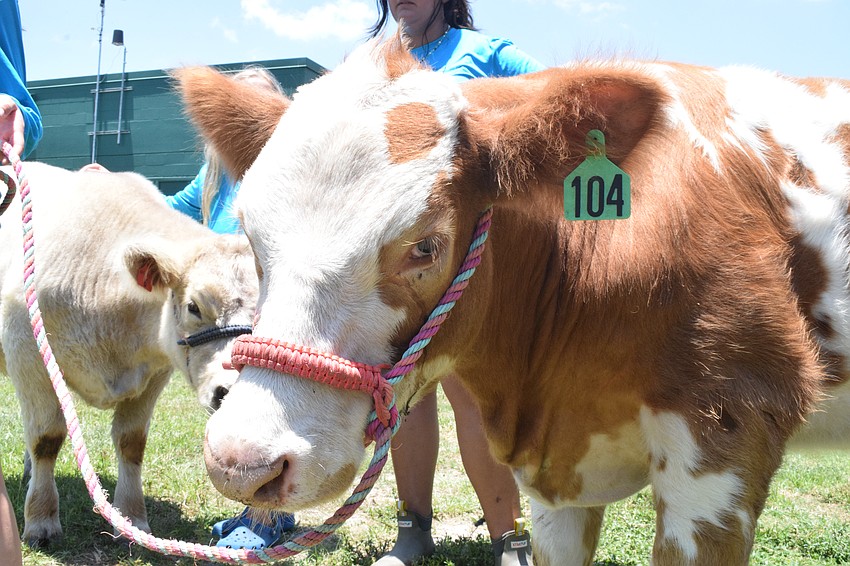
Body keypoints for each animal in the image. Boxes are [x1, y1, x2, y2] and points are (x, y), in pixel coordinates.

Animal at [0, 162, 258, 547]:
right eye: (194, 306)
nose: (234, 392)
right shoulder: (28, 355)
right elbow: (46, 439)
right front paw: (42, 520)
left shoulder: (155, 375)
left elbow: (131, 442)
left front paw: (132, 518)